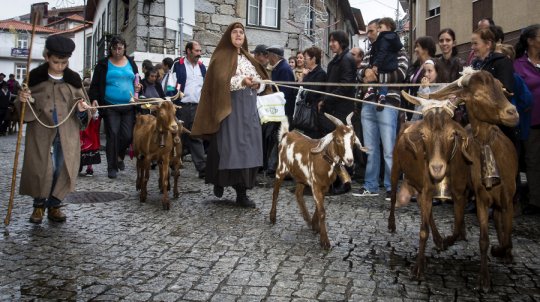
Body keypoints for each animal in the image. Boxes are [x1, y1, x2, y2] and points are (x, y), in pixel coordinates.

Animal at [268, 112, 368, 249]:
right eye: (338, 140)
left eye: (353, 140)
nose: (349, 160)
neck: (325, 158)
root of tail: (286, 134)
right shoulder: (315, 185)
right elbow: (322, 211)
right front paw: (325, 241)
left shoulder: (324, 187)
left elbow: (318, 207)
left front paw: (315, 226)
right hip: (281, 169)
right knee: (275, 192)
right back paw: (272, 217)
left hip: (301, 177)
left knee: (298, 194)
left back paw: (307, 219)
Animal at [388, 92, 472, 280]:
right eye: (424, 135)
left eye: (452, 135)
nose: (436, 167)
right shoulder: (427, 190)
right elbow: (423, 231)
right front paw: (418, 267)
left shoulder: (459, 194)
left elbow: (457, 226)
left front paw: (446, 241)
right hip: (396, 167)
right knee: (394, 197)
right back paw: (391, 224)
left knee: (423, 206)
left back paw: (439, 239)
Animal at [426, 69, 520, 292]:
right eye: (477, 95)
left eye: (500, 87)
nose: (512, 113)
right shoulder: (481, 198)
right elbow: (484, 239)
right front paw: (484, 279)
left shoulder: (508, 198)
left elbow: (507, 235)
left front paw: (502, 251)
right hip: (461, 188)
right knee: (458, 219)